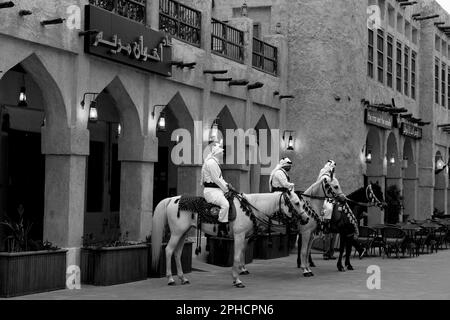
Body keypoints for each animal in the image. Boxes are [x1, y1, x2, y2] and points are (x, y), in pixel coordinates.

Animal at [151, 190, 310, 288]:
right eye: (296, 203)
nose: (306, 218)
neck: (250, 208)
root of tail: (172, 199)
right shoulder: (239, 236)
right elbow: (237, 257)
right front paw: (237, 280)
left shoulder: (244, 237)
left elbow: (241, 256)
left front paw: (237, 277)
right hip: (177, 233)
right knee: (169, 250)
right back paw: (170, 279)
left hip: (183, 233)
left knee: (177, 253)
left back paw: (183, 278)